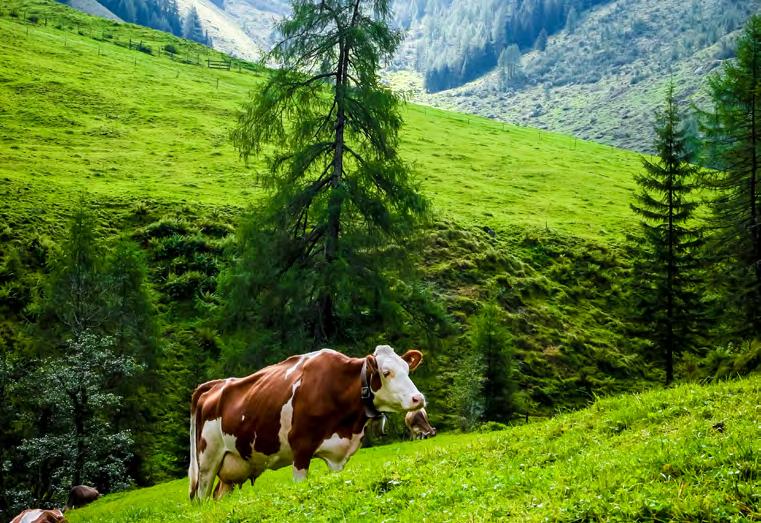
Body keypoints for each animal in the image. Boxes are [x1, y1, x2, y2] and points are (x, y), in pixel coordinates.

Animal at [189, 346, 428, 502]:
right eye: (386, 373)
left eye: (408, 369)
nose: (418, 398)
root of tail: (216, 384)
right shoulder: (301, 449)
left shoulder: (338, 455)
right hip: (207, 463)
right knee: (202, 498)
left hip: (231, 466)